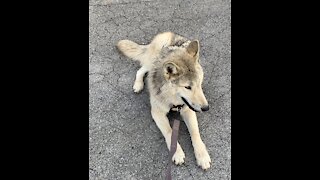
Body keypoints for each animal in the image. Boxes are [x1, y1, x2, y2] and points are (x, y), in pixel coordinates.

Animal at [116, 31, 211, 169]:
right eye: (187, 87)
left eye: (199, 83)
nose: (206, 108)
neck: (172, 99)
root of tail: (169, 33)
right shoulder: (157, 113)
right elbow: (169, 132)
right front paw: (177, 153)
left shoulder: (188, 109)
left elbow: (195, 133)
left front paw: (202, 156)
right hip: (152, 61)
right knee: (141, 70)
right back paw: (138, 85)